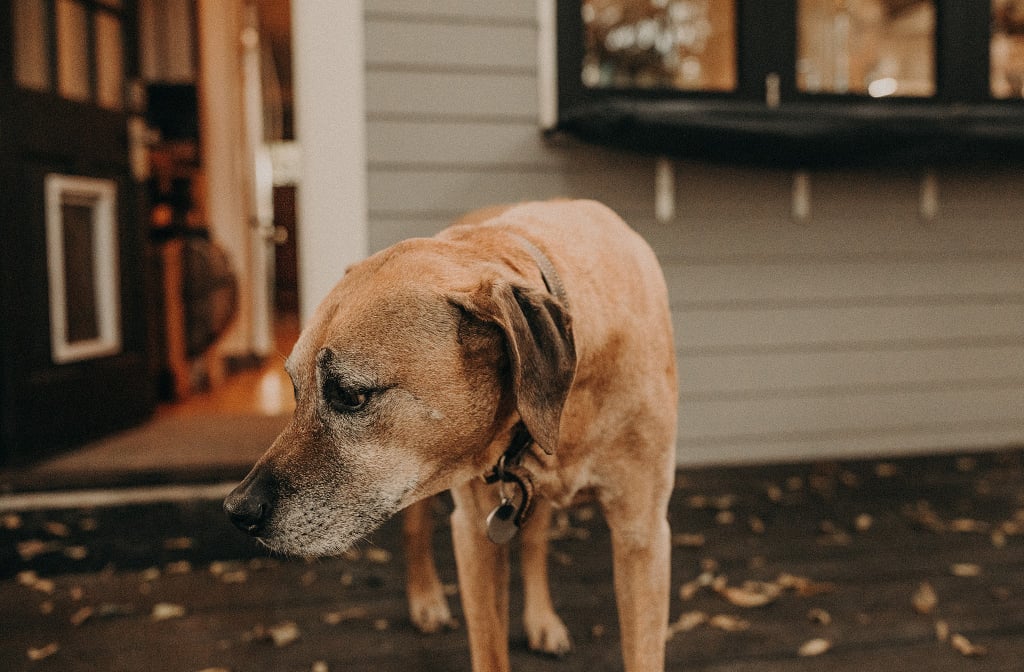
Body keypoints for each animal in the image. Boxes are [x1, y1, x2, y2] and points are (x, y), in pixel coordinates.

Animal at [224, 199, 675, 672]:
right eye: (295, 390)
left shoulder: (642, 534)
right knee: (416, 531)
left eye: (349, 394)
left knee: (534, 541)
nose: (237, 509)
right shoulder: (477, 534)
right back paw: (426, 600)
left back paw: (542, 620)